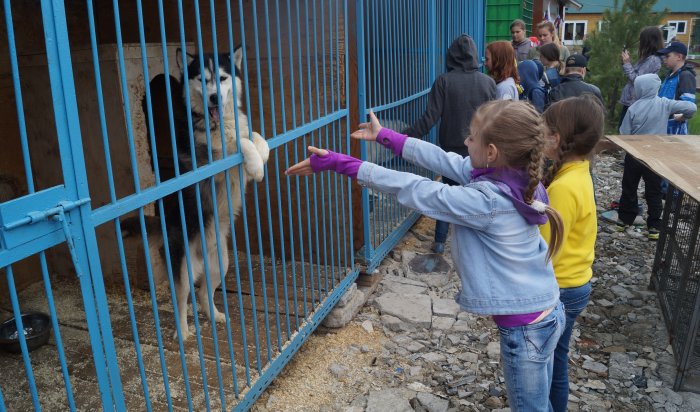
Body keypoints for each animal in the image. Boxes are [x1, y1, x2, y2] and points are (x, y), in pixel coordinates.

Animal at [122, 46, 268, 340]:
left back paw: (215, 316)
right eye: (203, 79)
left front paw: (263, 153)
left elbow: (253, 134)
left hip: (221, 263)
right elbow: (241, 142)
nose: (214, 97)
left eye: (222, 78)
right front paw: (256, 163)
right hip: (183, 268)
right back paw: (183, 333)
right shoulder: (210, 165)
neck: (217, 124)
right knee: (181, 300)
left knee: (203, 295)